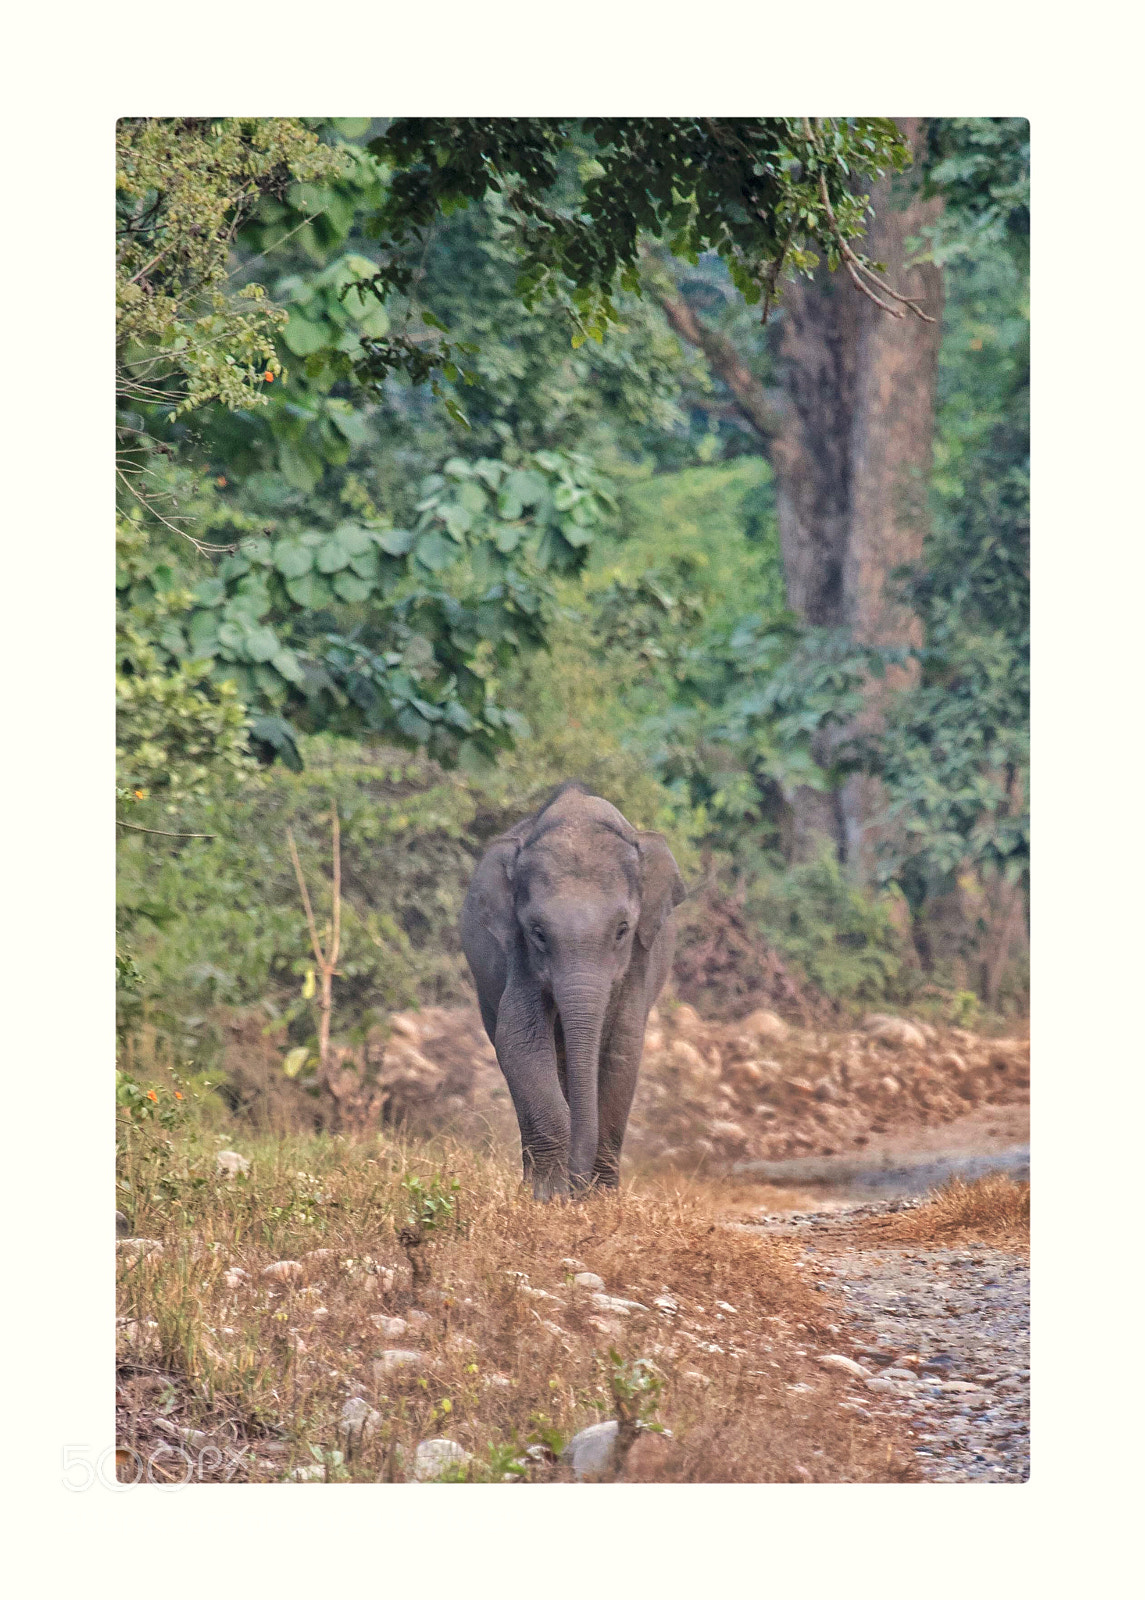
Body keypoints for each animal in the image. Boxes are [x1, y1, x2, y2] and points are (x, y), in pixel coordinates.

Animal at [460, 783, 685, 1200]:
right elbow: (519, 1040)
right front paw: (548, 1196)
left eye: (622, 930)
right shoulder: (518, 953)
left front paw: (600, 1198)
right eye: (537, 932)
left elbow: (622, 1048)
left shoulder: (640, 958)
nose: (577, 1188)